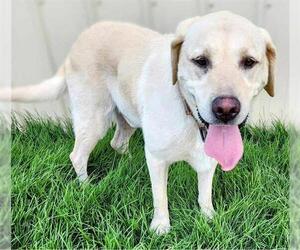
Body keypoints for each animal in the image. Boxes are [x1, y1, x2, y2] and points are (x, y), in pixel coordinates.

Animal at [1, 11, 276, 234]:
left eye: (249, 62)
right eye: (200, 61)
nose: (226, 109)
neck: (187, 112)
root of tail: (79, 41)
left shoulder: (206, 162)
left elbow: (204, 195)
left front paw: (209, 219)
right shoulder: (157, 160)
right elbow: (160, 197)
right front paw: (161, 228)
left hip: (128, 118)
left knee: (117, 143)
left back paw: (128, 161)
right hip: (94, 119)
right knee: (77, 155)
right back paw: (86, 186)